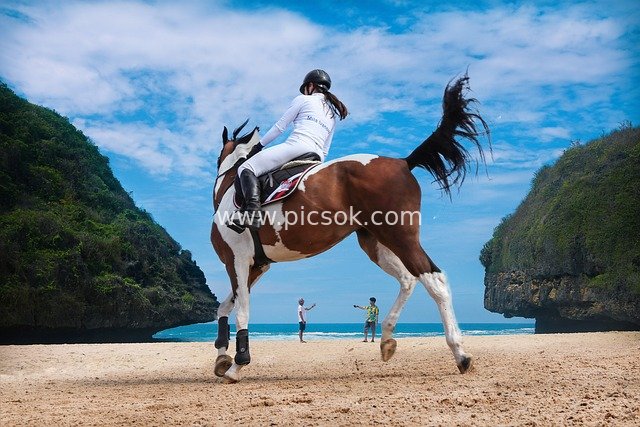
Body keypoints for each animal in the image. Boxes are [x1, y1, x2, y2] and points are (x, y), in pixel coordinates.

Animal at [210, 75, 490, 383]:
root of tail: (403, 162)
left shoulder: (237, 260)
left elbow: (241, 311)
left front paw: (237, 364)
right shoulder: (257, 267)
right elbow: (226, 306)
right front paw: (222, 356)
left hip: (401, 237)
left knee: (434, 280)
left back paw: (460, 353)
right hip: (376, 243)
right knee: (408, 279)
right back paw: (387, 339)